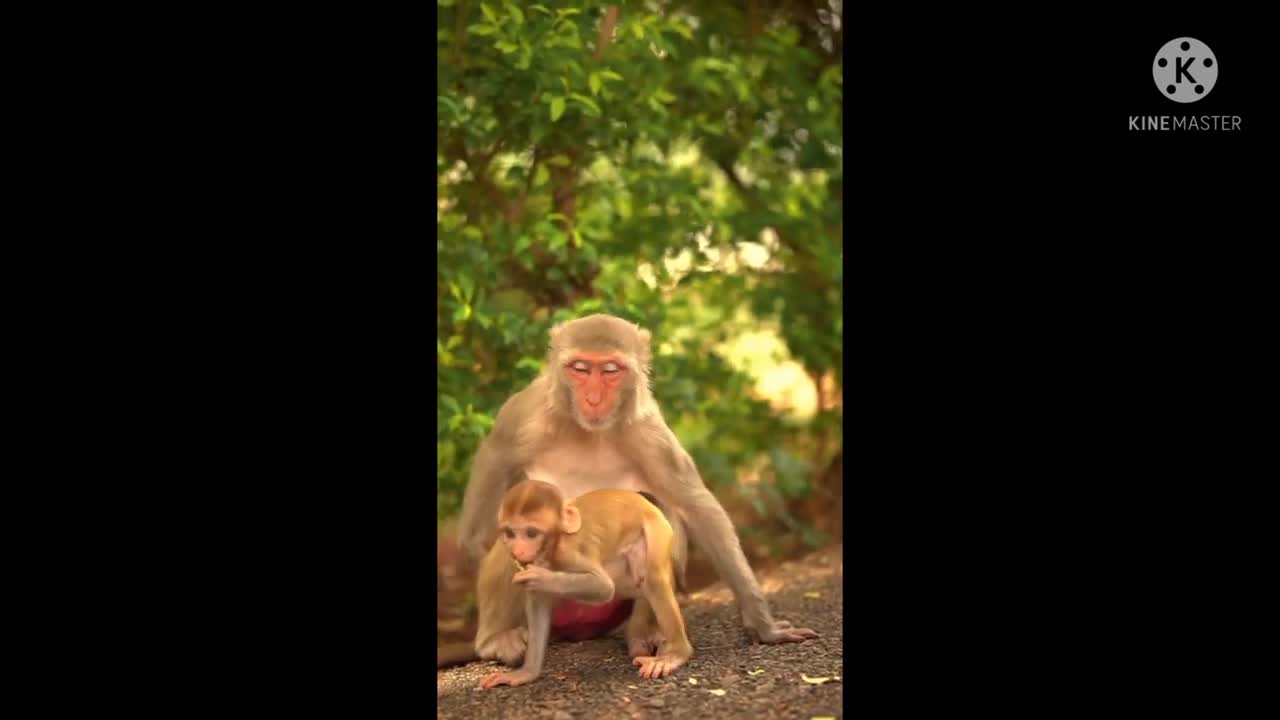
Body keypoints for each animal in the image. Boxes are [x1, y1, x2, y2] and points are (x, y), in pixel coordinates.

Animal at [481, 476, 696, 681]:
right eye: (510, 533)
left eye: (531, 533)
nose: (517, 551)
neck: (554, 543)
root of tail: (644, 502)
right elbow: (538, 603)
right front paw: (526, 673)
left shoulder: (569, 552)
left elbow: (603, 587)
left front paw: (539, 576)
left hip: (656, 528)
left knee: (653, 579)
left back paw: (675, 654)